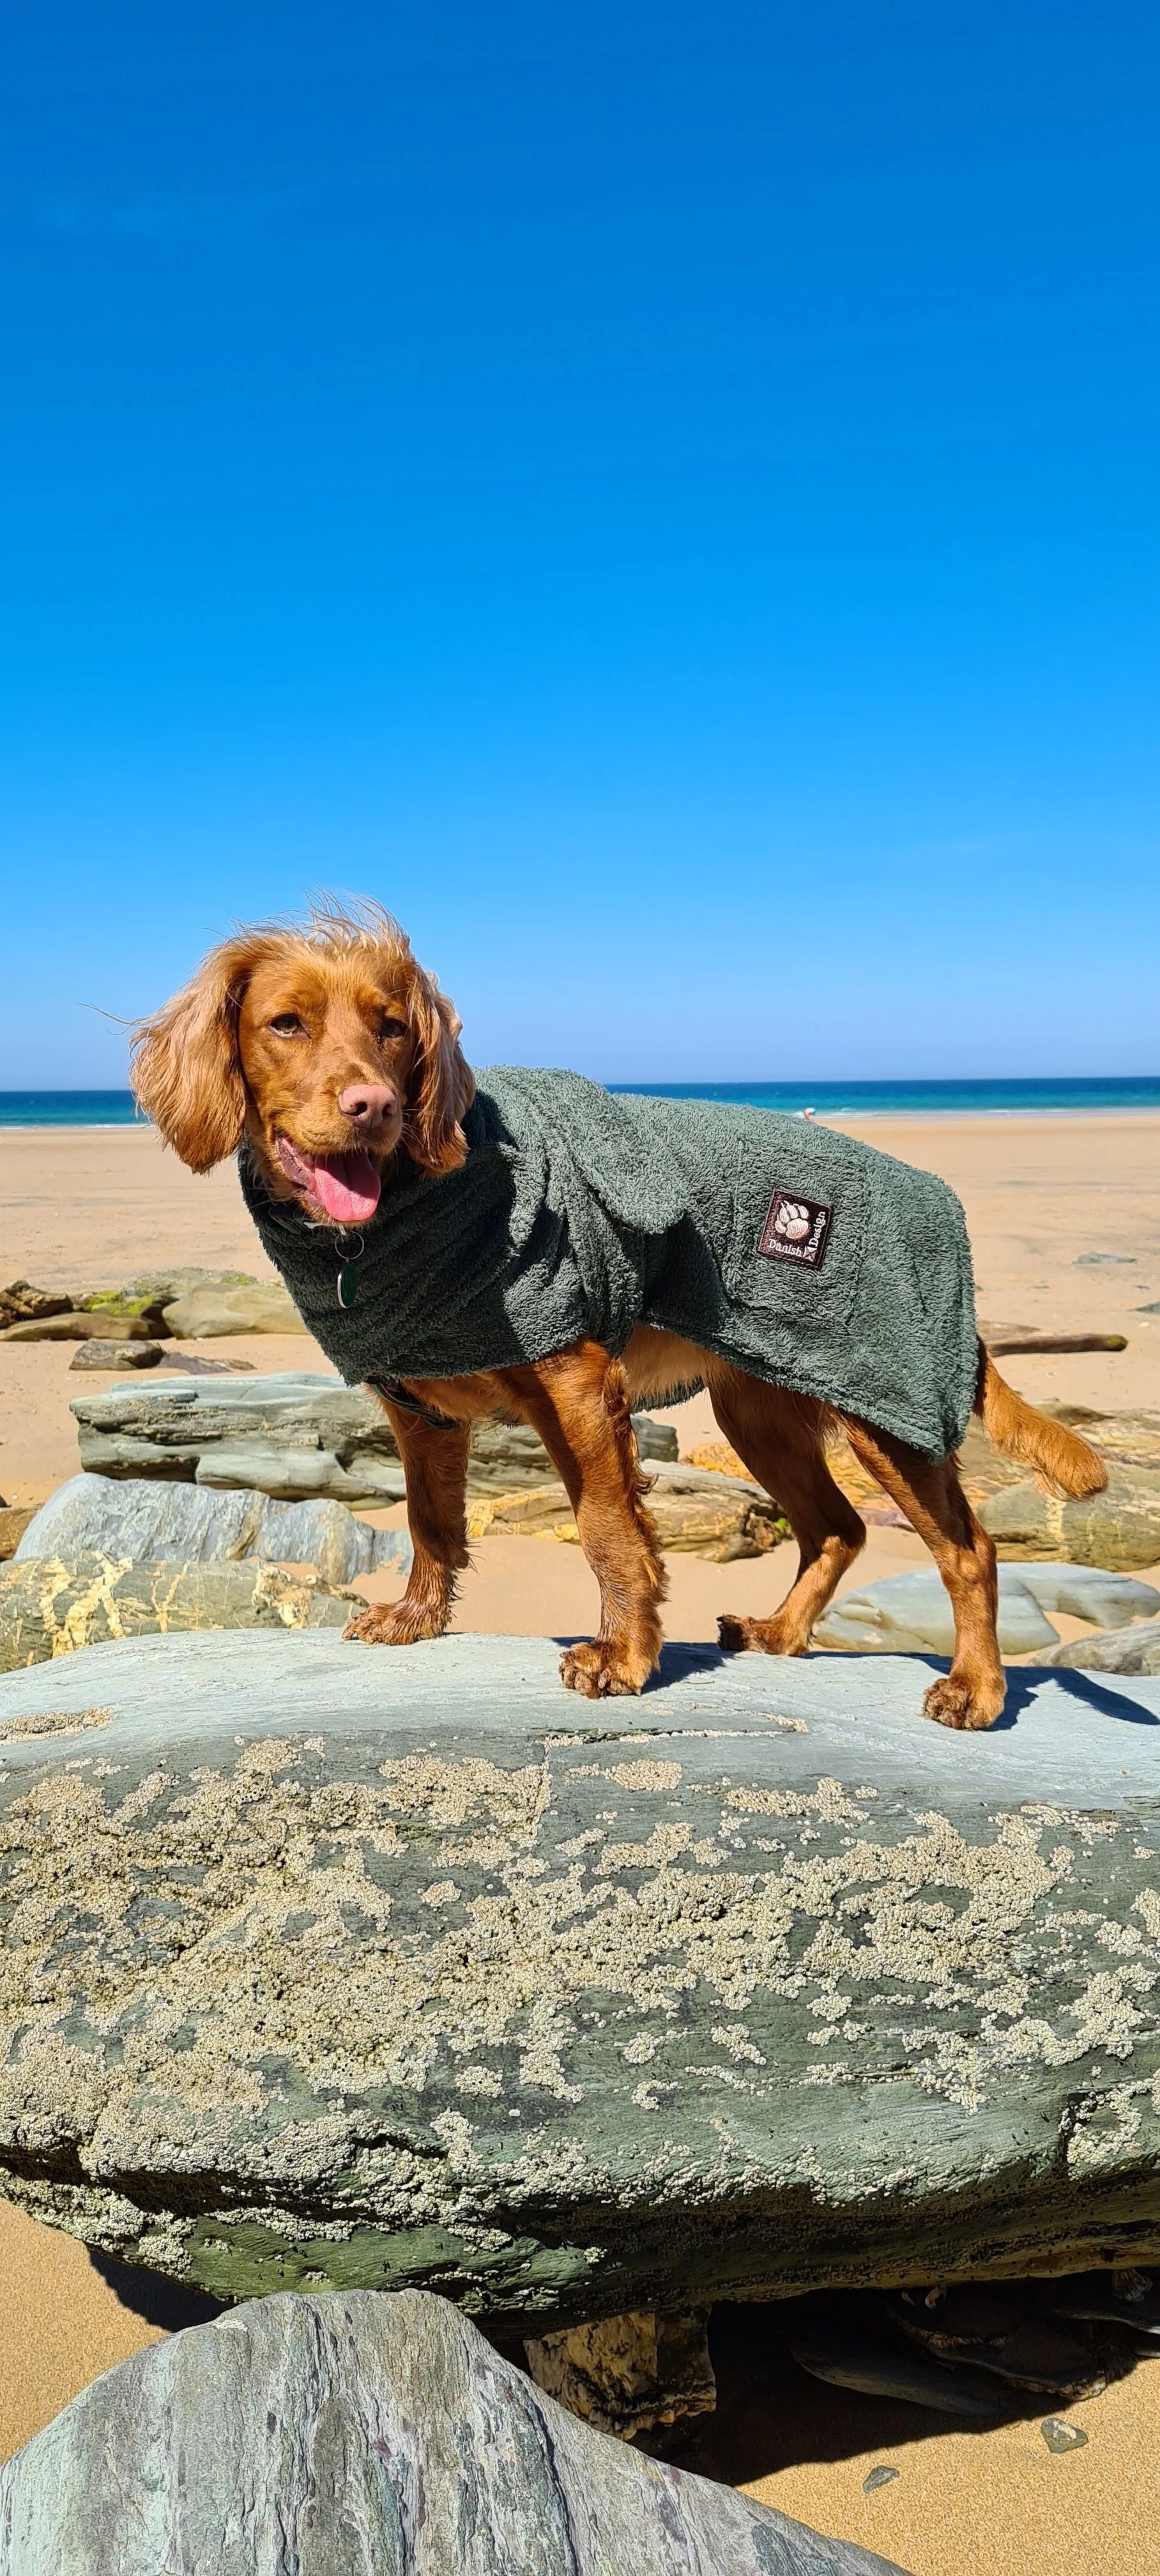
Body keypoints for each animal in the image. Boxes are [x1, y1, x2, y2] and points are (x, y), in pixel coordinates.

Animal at [133, 907, 1103, 1731]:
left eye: (393, 1027)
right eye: (285, 1025)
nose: (375, 1107)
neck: (407, 1211)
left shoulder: (578, 1384)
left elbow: (607, 1530)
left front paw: (623, 1658)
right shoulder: (423, 1412)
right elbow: (430, 1523)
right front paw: (416, 1617)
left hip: (881, 1407)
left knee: (969, 1549)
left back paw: (976, 1689)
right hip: (760, 1407)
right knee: (840, 1526)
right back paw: (782, 1634)